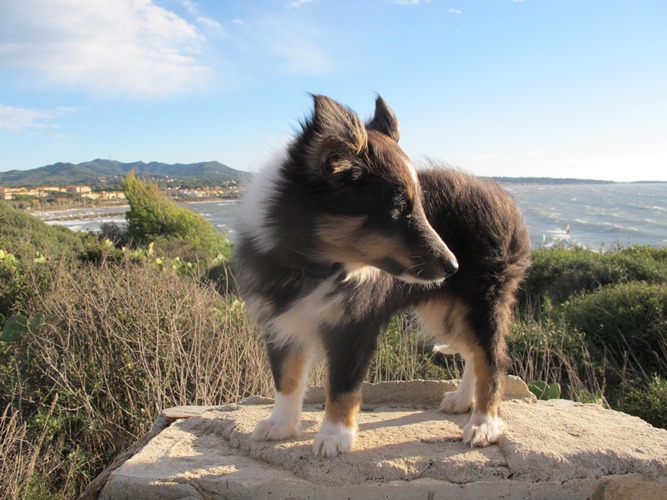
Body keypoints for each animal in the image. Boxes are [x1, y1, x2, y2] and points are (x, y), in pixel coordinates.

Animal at [236, 94, 532, 458]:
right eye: (399, 209)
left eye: (419, 207)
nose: (453, 267)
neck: (310, 264)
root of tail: (500, 194)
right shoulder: (280, 323)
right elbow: (286, 380)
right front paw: (281, 425)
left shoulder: (354, 325)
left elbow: (342, 386)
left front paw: (334, 436)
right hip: (443, 311)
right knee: (472, 353)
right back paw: (463, 400)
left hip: (480, 302)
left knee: (491, 358)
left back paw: (484, 424)